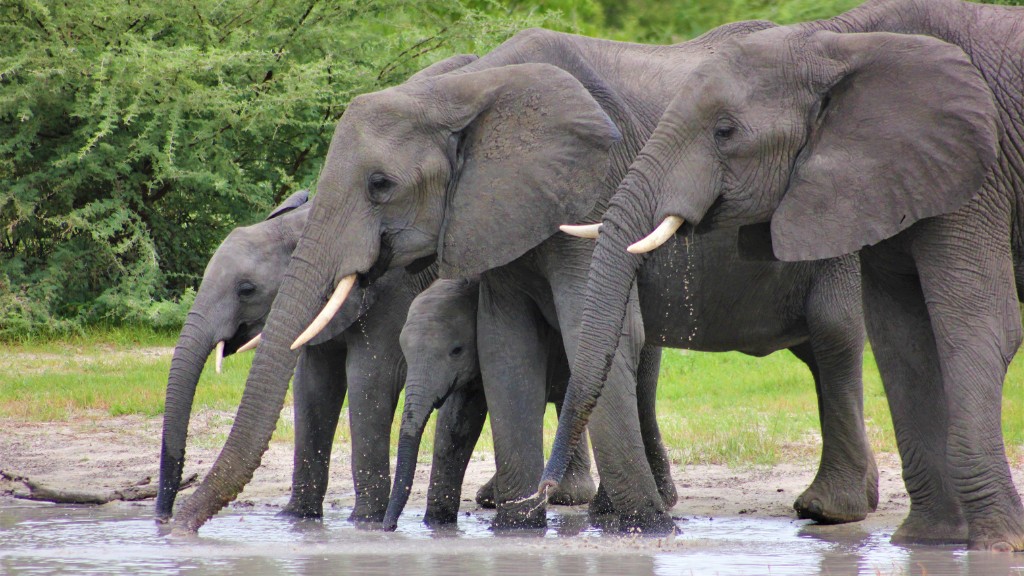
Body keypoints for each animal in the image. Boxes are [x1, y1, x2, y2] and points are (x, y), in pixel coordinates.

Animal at [154, 187, 436, 520]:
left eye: (246, 290)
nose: (164, 517)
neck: (299, 224)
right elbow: (313, 385)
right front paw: (296, 518)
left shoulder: (393, 291)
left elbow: (369, 379)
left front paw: (364, 521)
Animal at [548, 0, 1024, 549]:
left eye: (725, 131)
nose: (542, 493)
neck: (833, 41)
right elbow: (901, 339)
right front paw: (928, 541)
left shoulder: (973, 171)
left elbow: (978, 328)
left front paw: (992, 546)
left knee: (834, 333)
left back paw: (827, 510)